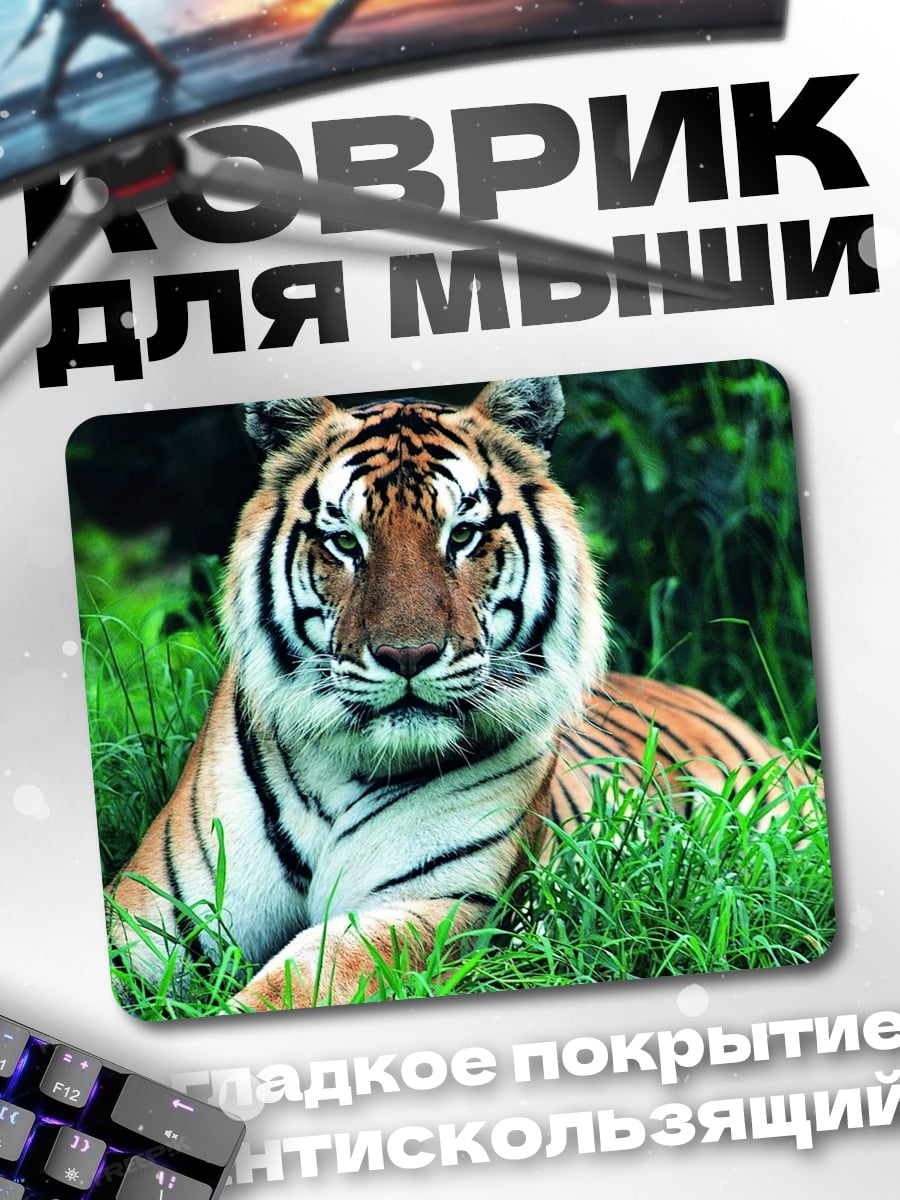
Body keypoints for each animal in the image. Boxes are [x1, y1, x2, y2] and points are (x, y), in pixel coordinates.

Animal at [107, 376, 814, 1013]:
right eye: (345, 542)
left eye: (463, 536)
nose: (407, 655)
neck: (337, 774)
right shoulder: (149, 916)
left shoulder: (437, 902)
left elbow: (304, 979)